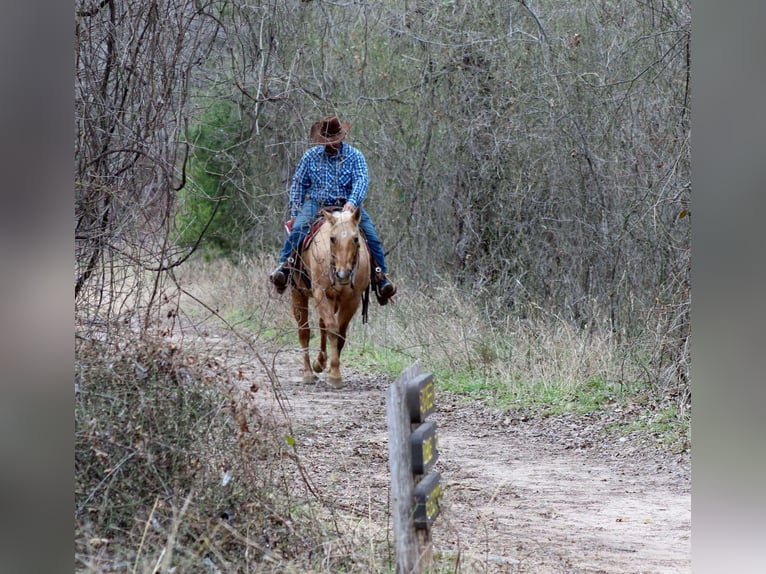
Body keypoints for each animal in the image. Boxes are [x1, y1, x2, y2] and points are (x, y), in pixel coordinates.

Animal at [290, 207, 370, 392]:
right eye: (332, 239)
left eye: (355, 239)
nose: (342, 274)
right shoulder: (320, 293)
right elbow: (332, 330)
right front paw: (334, 376)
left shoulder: (352, 299)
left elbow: (339, 333)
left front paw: (332, 370)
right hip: (298, 293)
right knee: (304, 331)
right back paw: (308, 374)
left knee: (322, 325)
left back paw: (319, 363)